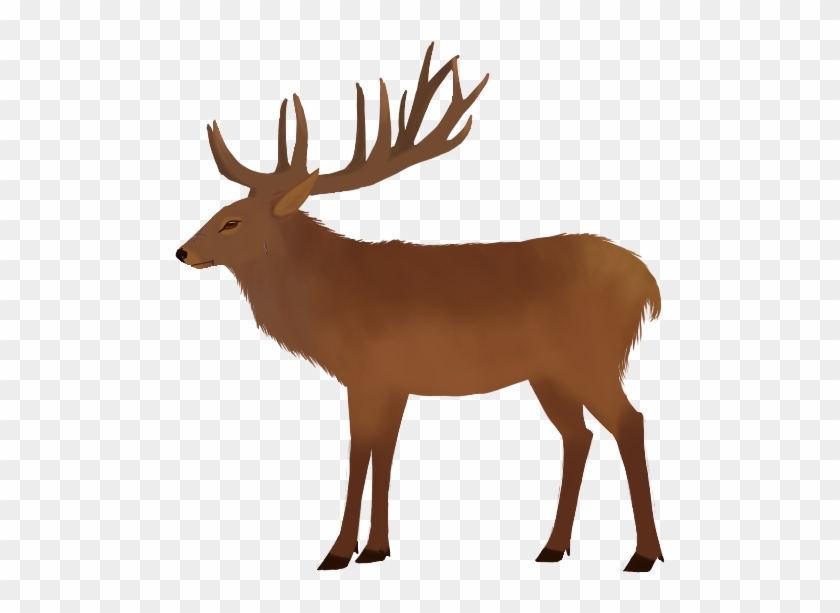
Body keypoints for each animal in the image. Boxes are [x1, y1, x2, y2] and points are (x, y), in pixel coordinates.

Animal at [176, 43, 664, 573]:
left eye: (232, 221)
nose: (182, 251)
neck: (329, 297)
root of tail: (648, 284)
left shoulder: (372, 372)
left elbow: (362, 452)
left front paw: (341, 551)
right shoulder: (390, 381)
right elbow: (382, 453)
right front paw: (374, 548)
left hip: (590, 357)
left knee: (629, 423)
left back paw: (643, 554)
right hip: (549, 373)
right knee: (578, 435)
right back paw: (553, 547)